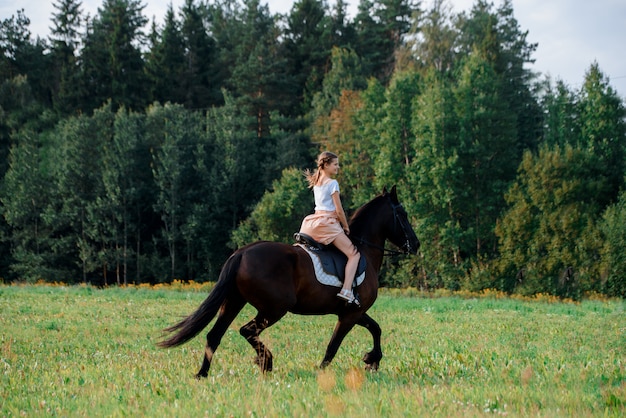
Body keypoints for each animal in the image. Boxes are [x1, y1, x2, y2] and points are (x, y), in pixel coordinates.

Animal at [158, 185, 416, 378]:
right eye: (402, 215)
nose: (416, 244)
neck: (364, 250)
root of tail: (242, 252)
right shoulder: (350, 315)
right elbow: (334, 346)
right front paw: (325, 371)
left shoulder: (354, 311)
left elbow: (375, 328)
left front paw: (372, 360)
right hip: (274, 308)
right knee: (246, 330)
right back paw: (266, 361)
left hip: (234, 302)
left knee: (215, 335)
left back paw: (203, 373)